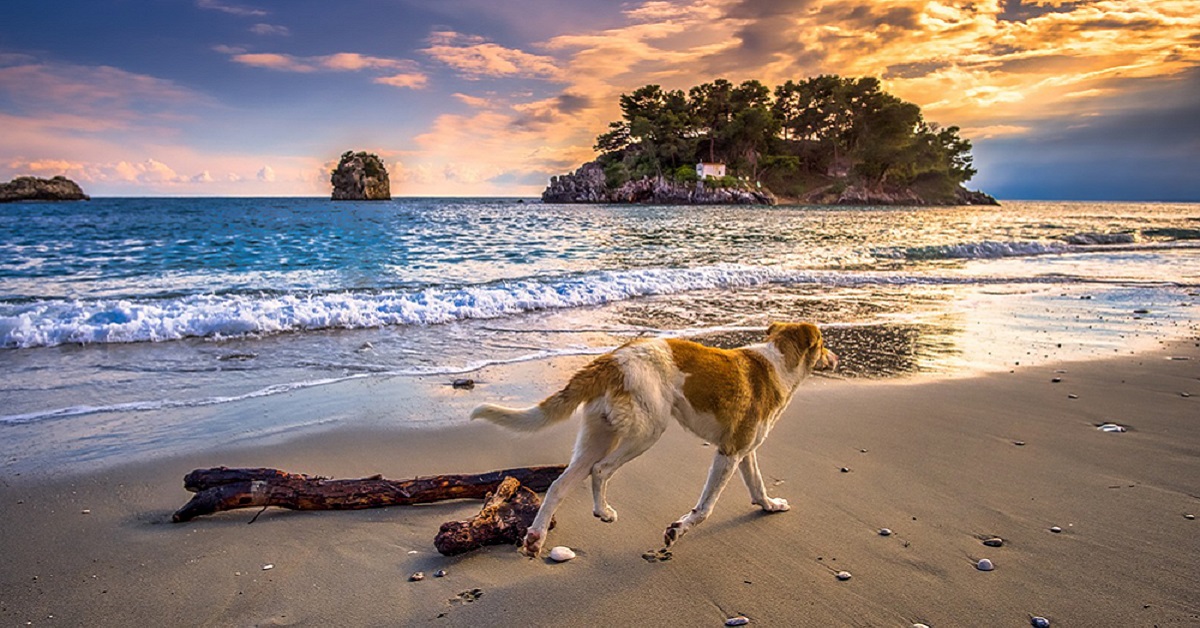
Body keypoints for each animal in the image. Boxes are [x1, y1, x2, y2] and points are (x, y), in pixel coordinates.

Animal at [468, 321, 835, 557]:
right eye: (823, 343)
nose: (835, 358)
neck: (777, 363)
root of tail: (611, 358)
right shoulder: (728, 453)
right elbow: (705, 508)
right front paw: (677, 531)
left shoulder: (744, 451)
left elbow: (757, 486)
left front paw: (770, 506)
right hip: (646, 432)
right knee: (600, 470)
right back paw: (602, 512)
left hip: (597, 436)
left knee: (559, 484)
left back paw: (535, 538)